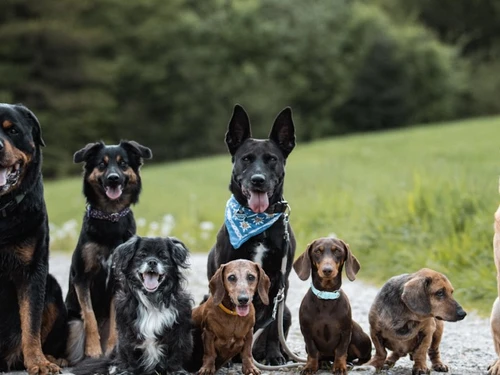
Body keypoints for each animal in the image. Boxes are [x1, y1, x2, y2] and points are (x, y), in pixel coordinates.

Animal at [66, 140, 152, 362]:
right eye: (102, 165)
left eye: (123, 164)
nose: (113, 178)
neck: (110, 216)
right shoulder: (82, 278)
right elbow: (89, 316)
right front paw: (93, 350)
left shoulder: (117, 281)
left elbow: (115, 322)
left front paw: (112, 347)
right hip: (72, 324)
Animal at [72, 236, 193, 374]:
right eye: (142, 255)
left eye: (163, 257)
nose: (152, 262)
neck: (152, 300)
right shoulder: (128, 337)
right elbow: (130, 359)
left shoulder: (179, 335)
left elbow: (175, 358)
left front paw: (175, 371)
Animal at [207, 104, 296, 366]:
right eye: (246, 159)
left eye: (272, 160)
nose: (258, 180)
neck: (258, 223)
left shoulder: (281, 282)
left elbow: (272, 329)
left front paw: (275, 356)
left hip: (287, 312)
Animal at [292, 239, 372, 374]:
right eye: (317, 251)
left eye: (338, 251)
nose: (327, 270)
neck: (326, 295)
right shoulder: (306, 332)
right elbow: (313, 352)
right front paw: (310, 367)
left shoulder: (345, 332)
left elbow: (341, 351)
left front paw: (340, 367)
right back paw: (323, 363)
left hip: (360, 337)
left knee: (364, 356)